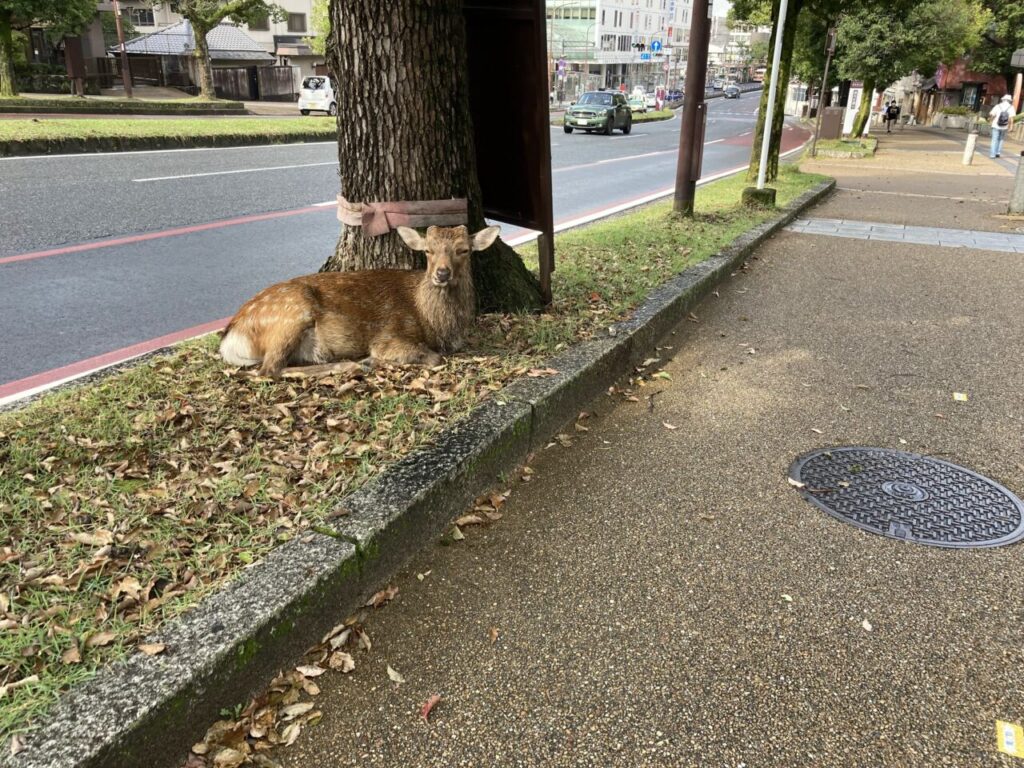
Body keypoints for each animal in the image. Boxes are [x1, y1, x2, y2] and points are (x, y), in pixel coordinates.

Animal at [218, 224, 501, 378]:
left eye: (463, 250)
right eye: (427, 250)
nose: (441, 273)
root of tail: (232, 334)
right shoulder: (389, 335)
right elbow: (433, 358)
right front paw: (373, 359)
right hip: (292, 313)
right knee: (268, 370)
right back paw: (352, 365)